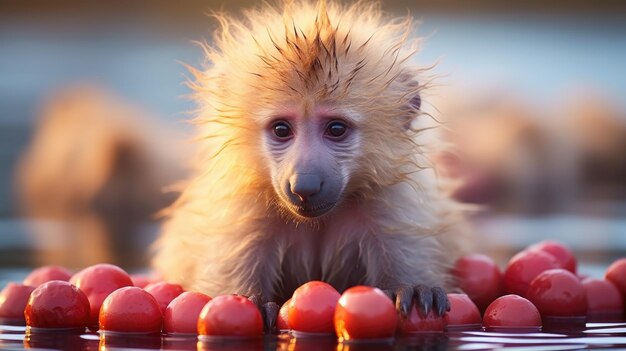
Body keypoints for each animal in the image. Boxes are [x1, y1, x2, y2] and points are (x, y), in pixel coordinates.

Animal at [152, 0, 464, 330]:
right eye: (281, 129)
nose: (305, 184)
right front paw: (244, 300)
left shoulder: (393, 202)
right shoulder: (243, 207)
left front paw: (414, 289)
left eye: (336, 129)